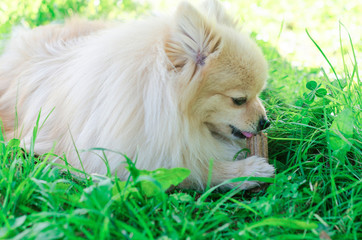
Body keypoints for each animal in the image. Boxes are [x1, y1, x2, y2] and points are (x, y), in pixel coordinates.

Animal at [0, 0, 274, 190]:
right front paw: (246, 170)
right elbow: (194, 170)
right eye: (239, 100)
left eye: (258, 94)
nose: (266, 122)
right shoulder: (121, 164)